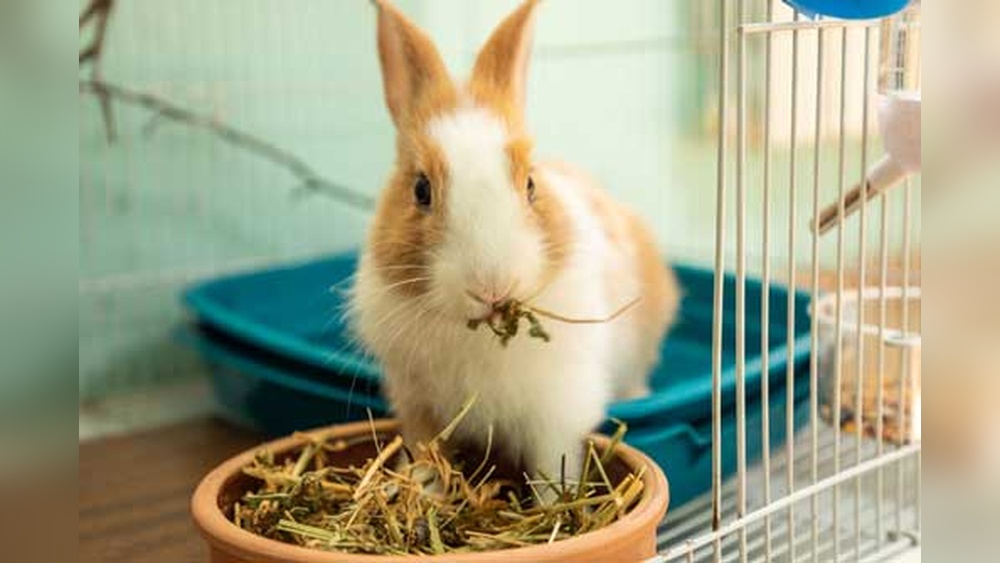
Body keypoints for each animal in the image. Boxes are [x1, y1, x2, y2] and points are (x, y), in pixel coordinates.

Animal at [351, 0, 680, 484]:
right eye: (421, 190)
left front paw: (557, 503)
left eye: (530, 184)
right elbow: (429, 461)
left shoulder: (555, 415)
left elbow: (551, 472)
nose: (492, 288)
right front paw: (424, 491)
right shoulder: (420, 409)